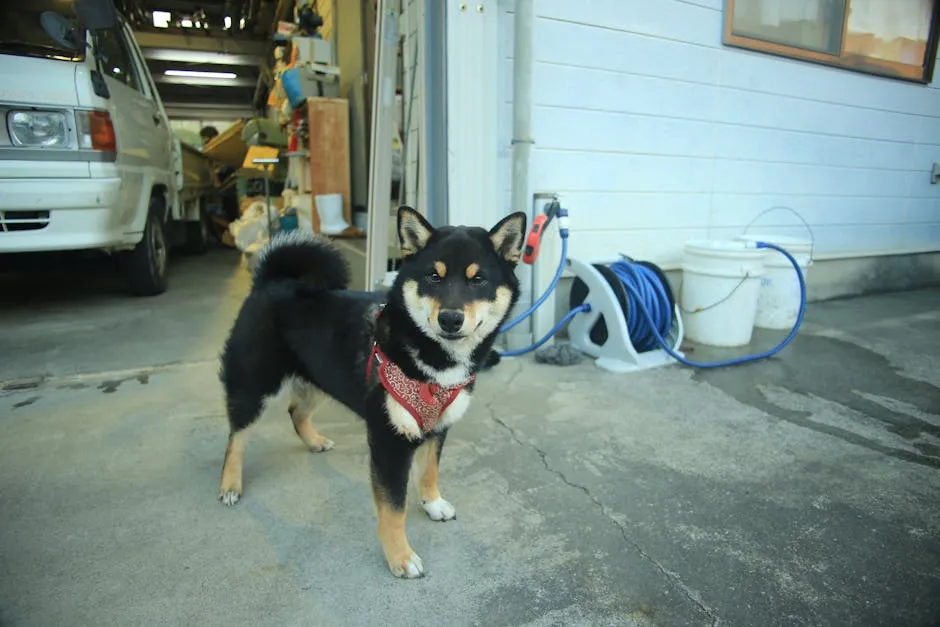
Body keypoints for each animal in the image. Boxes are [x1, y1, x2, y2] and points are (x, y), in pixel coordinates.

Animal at [219, 206, 524, 580]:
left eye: (478, 279)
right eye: (433, 277)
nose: (450, 319)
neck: (435, 362)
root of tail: (271, 280)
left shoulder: (438, 427)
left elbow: (429, 471)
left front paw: (433, 503)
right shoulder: (389, 439)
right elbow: (394, 508)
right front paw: (401, 557)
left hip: (320, 376)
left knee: (295, 412)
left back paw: (314, 441)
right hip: (255, 386)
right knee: (236, 437)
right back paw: (229, 485)